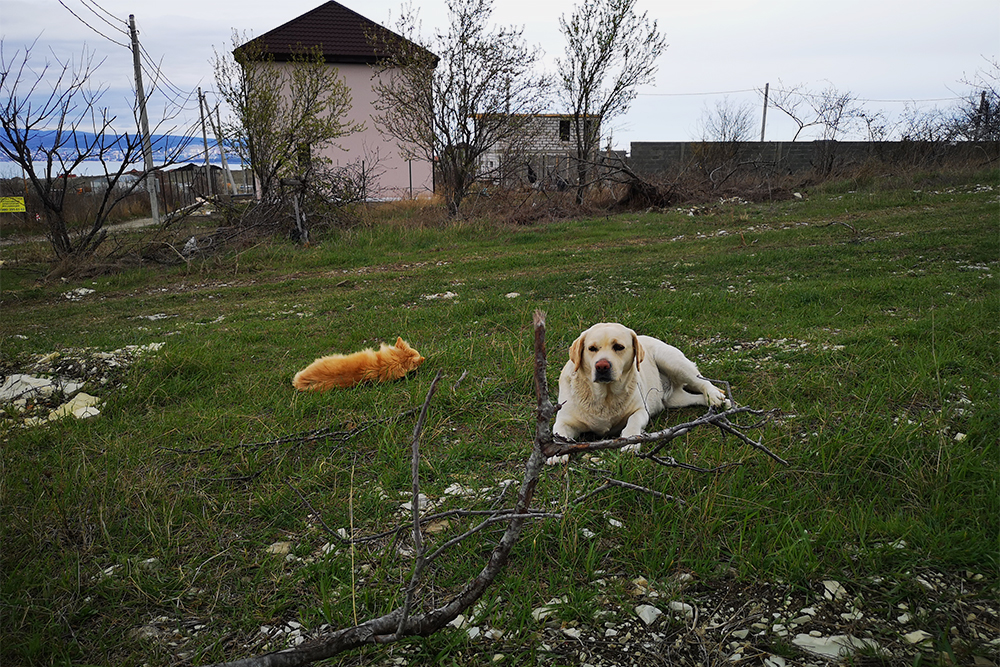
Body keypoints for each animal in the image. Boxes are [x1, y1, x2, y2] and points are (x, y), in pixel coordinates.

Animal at [552, 324, 732, 464]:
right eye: (592, 349)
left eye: (618, 347)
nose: (602, 366)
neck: (605, 397)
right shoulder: (565, 419)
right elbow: (557, 431)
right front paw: (555, 451)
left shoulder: (640, 411)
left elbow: (633, 421)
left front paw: (630, 442)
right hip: (675, 399)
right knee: (695, 397)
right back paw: (719, 402)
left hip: (672, 361)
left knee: (702, 381)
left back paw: (715, 396)